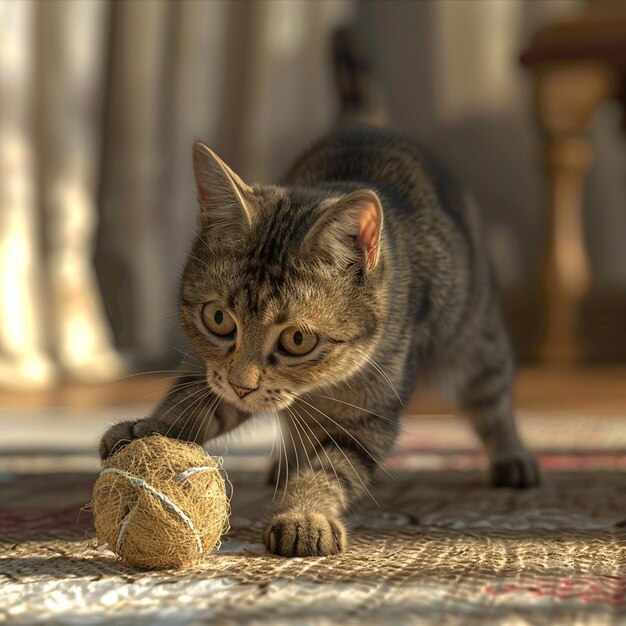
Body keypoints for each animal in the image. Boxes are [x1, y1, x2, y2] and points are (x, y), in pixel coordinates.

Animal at [100, 28, 540, 556]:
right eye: (218, 319)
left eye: (297, 339)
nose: (244, 385)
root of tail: (367, 122)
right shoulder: (215, 371)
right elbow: (195, 400)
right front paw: (148, 429)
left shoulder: (367, 419)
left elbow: (330, 468)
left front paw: (305, 513)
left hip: (474, 341)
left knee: (491, 399)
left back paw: (513, 458)